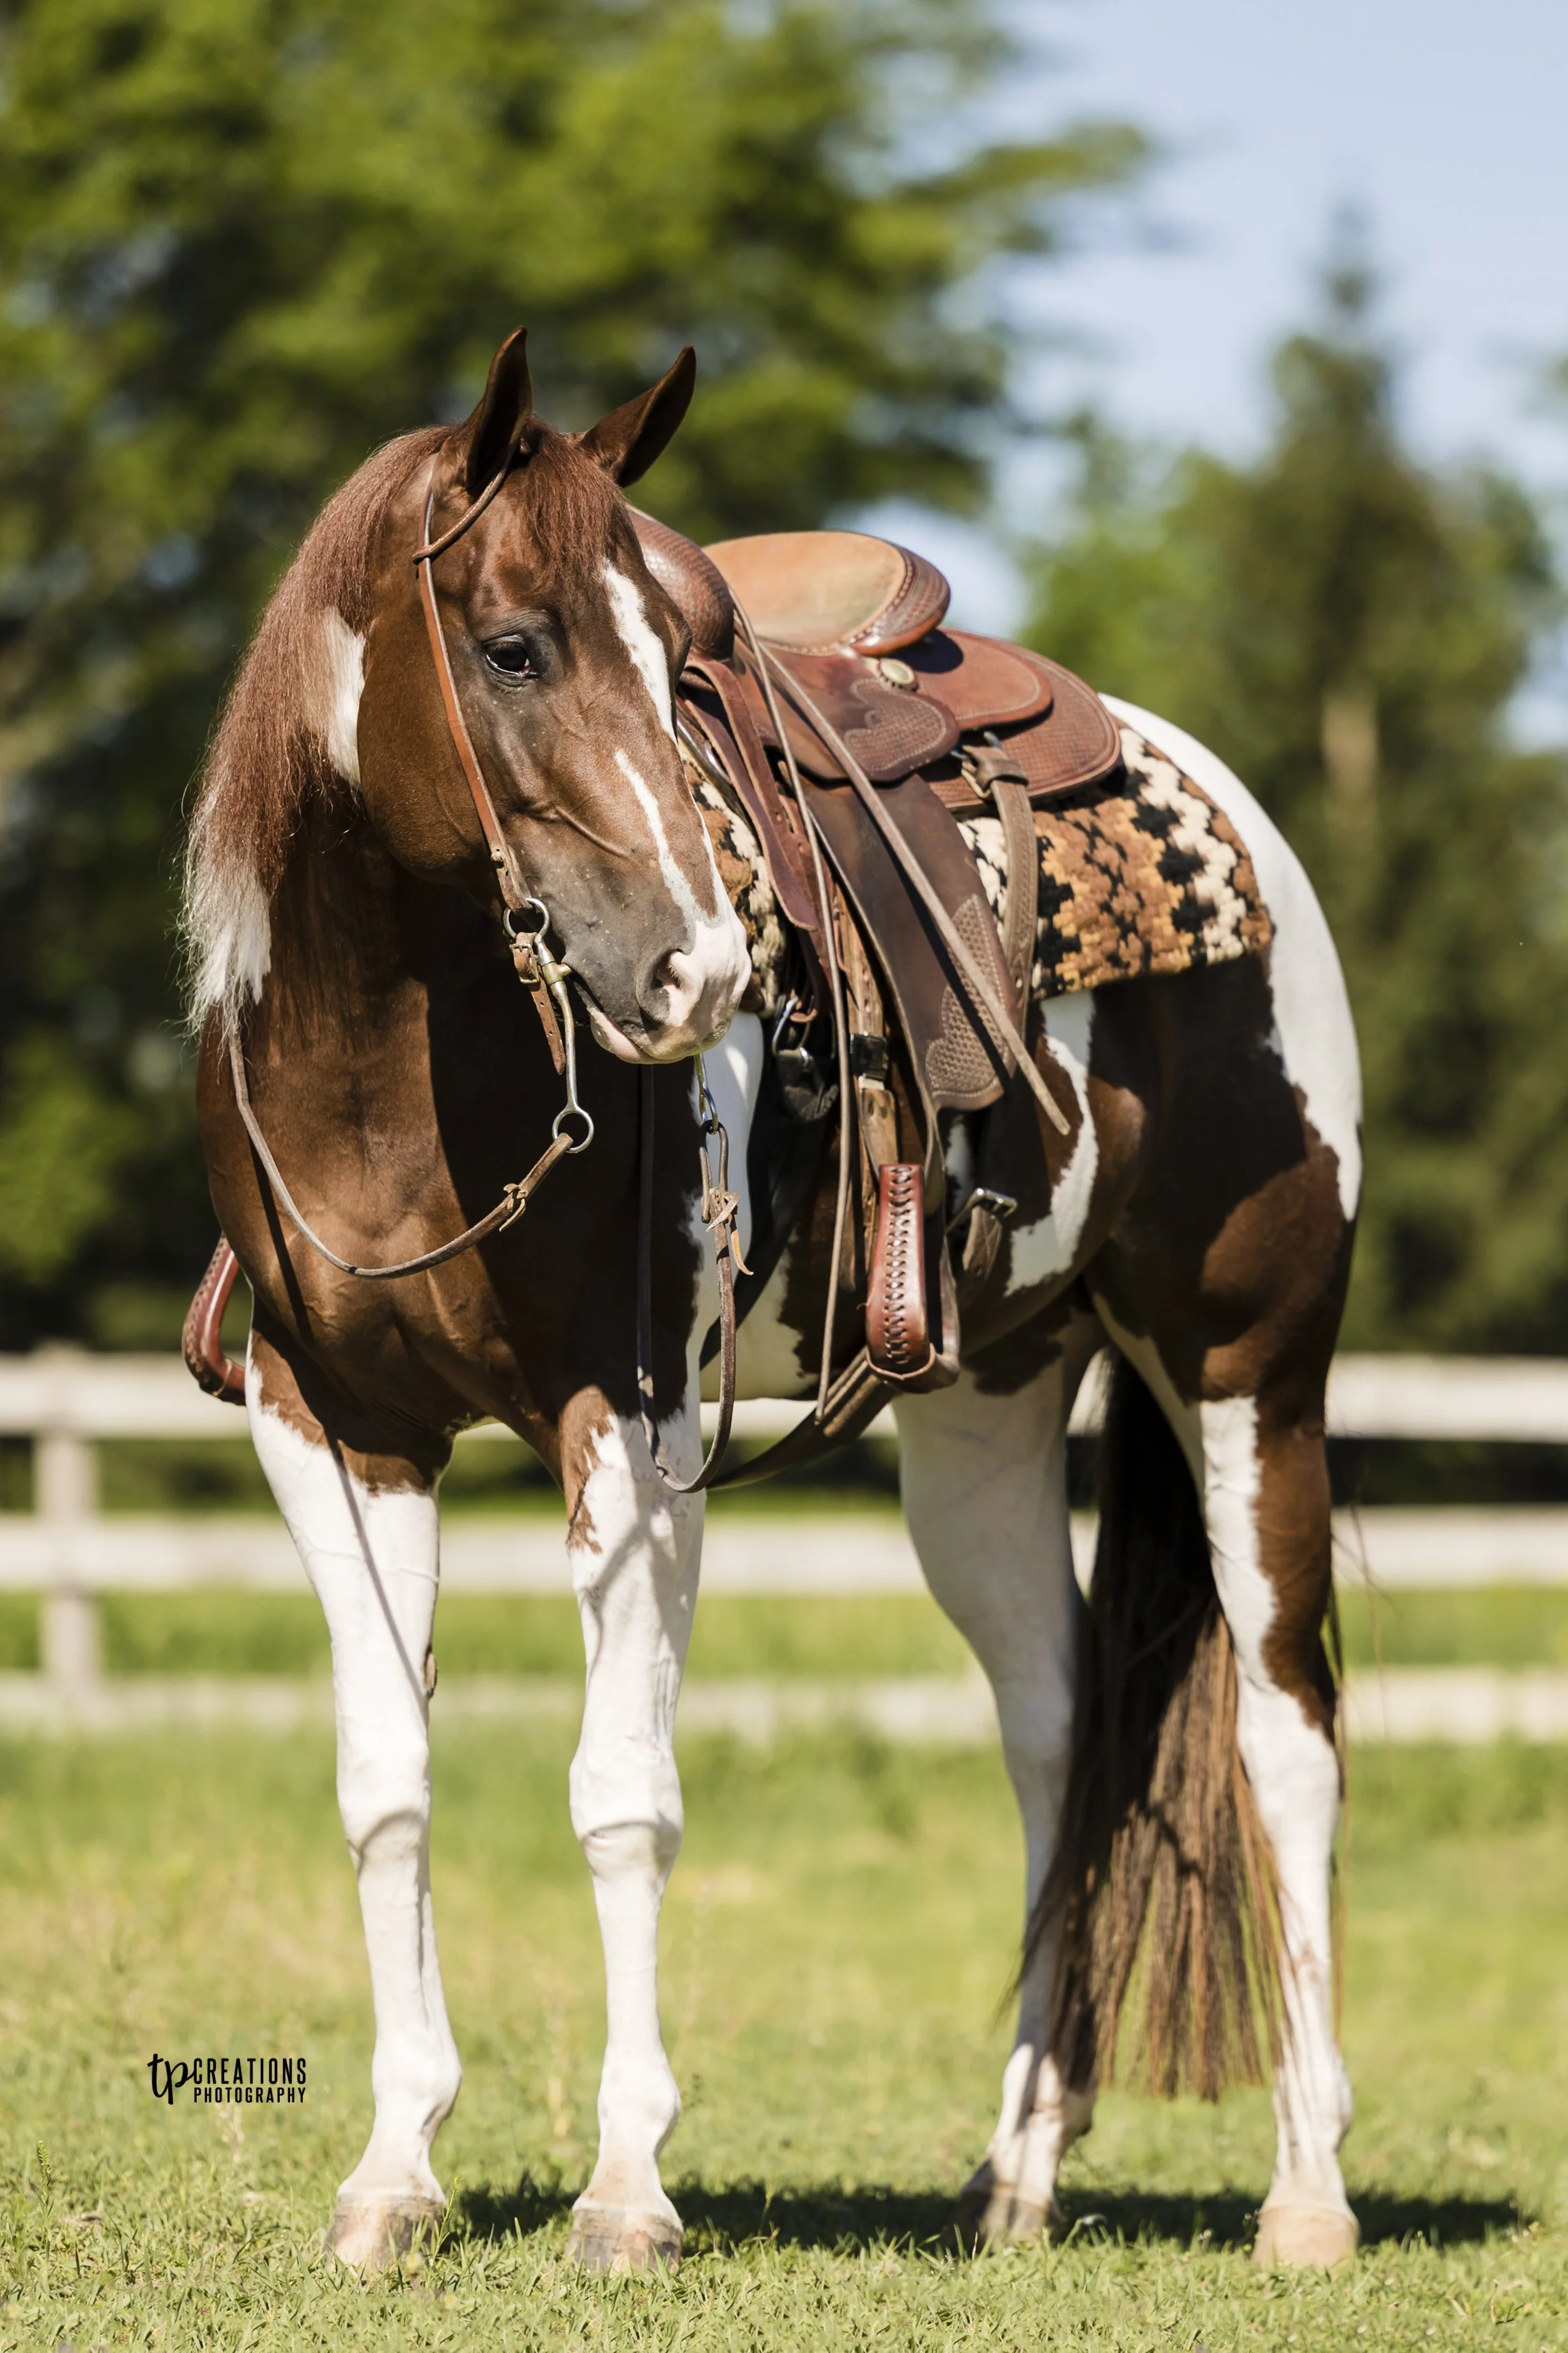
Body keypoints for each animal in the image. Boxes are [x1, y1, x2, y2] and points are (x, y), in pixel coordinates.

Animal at [184, 329, 1362, 2277]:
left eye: (685, 660)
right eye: (514, 643)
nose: (700, 970)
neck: (395, 1069)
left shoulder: (637, 1431)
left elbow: (620, 1797)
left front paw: (625, 2189)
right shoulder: (332, 1426)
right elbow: (385, 1779)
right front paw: (394, 2172)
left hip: (1244, 1372)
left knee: (1285, 1736)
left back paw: (1308, 2191)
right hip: (986, 1413)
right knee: (1058, 1735)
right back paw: (1015, 2172)